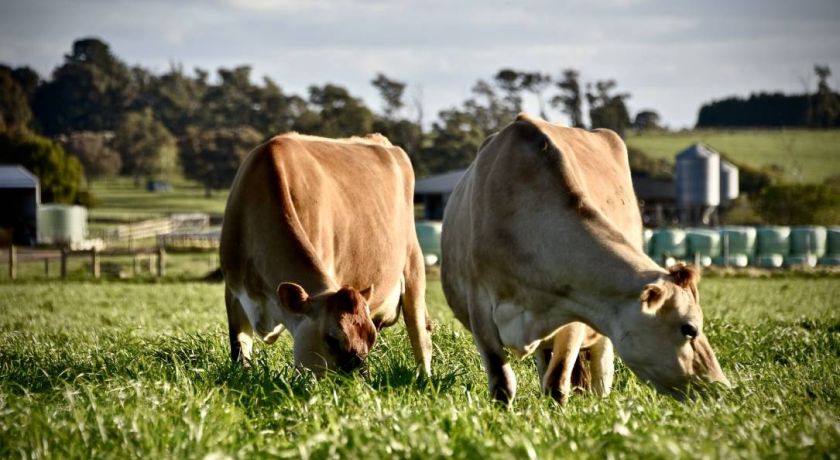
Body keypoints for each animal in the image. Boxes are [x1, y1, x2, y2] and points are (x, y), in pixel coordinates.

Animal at [221, 133, 434, 378]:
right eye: (332, 339)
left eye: (370, 339)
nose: (358, 381)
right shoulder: (233, 293)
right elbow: (239, 353)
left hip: (413, 265)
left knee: (421, 335)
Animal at [440, 113, 728, 404]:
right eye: (689, 328)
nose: (721, 386)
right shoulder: (479, 309)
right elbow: (502, 384)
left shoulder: (575, 310)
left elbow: (557, 382)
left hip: (602, 342)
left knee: (600, 377)